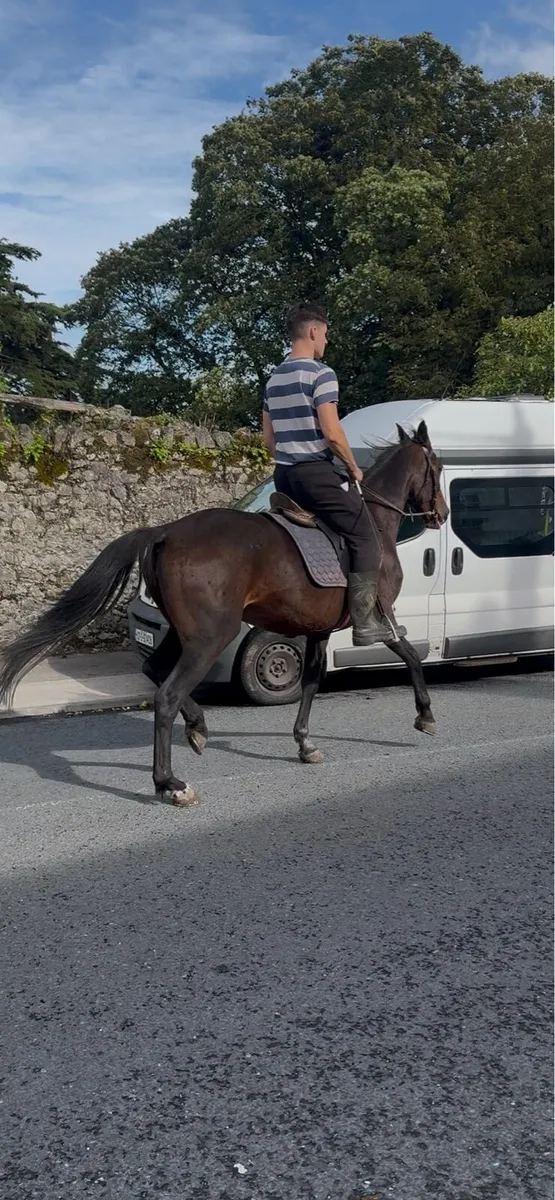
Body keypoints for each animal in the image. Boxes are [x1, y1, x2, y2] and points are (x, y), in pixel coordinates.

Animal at [0, 420, 448, 806]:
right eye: (438, 466)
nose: (441, 515)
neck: (375, 522)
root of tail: (165, 532)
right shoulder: (381, 617)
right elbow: (412, 657)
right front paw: (425, 715)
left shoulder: (317, 629)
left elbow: (310, 683)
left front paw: (305, 743)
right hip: (211, 637)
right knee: (166, 695)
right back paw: (170, 783)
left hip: (186, 634)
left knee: (155, 671)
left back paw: (198, 728)